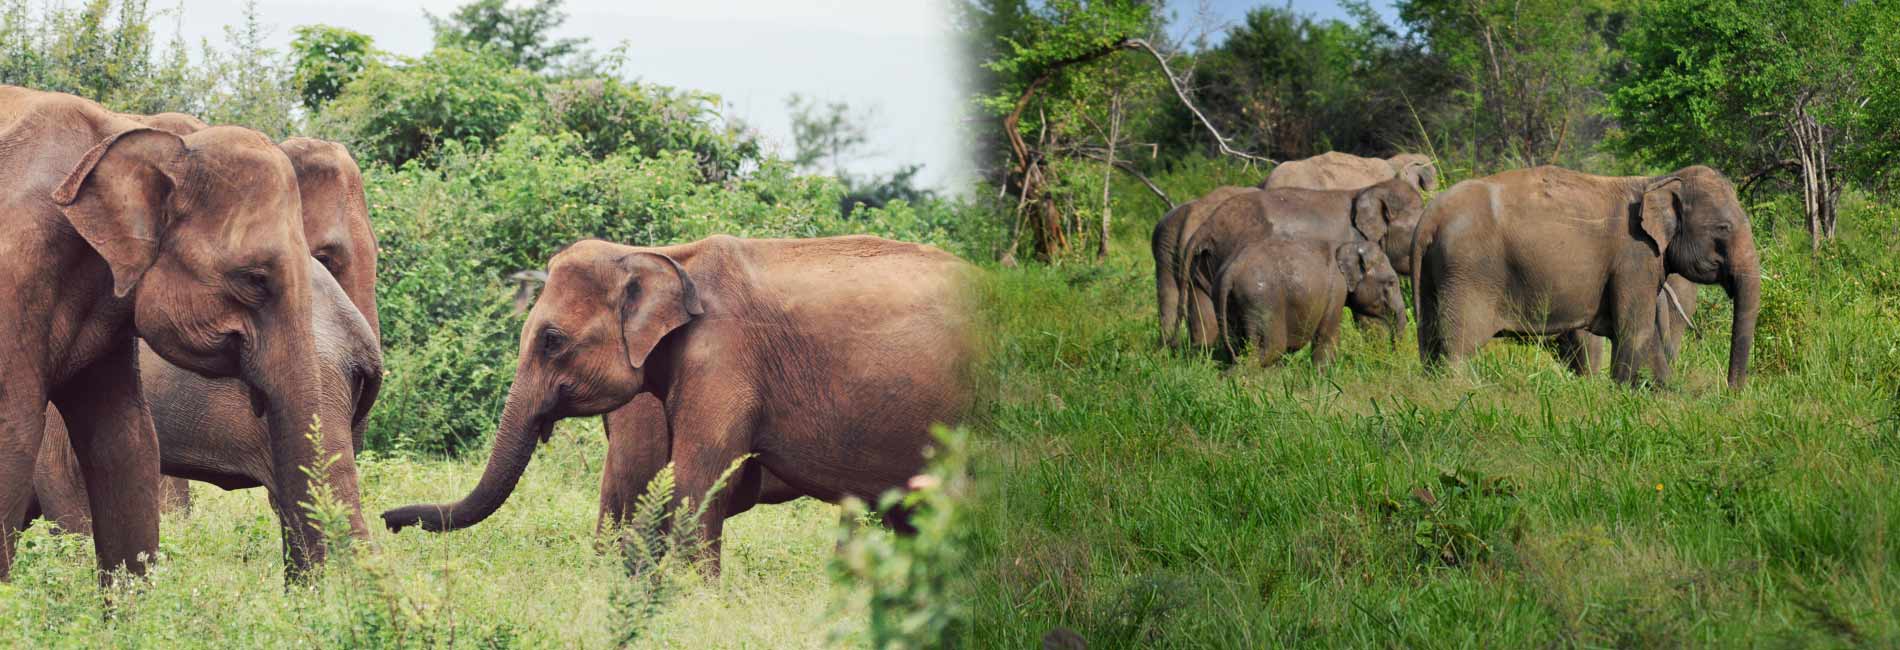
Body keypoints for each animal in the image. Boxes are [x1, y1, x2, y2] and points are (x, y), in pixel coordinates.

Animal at [1214, 239, 1407, 367]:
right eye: (1391, 282)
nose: (1391, 358)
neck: (1347, 245)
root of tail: (1232, 271)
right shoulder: (1336, 289)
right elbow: (1327, 335)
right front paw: (1323, 378)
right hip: (1261, 301)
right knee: (1267, 350)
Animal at [1413, 165, 1759, 389]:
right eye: (1723, 228)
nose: (1731, 393)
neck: (1656, 181)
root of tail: (1430, 216)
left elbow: (1640, 332)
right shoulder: (1634, 258)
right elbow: (1635, 328)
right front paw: (1626, 394)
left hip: (1434, 275)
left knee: (1430, 338)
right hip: (1468, 274)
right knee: (1459, 346)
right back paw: (1461, 390)